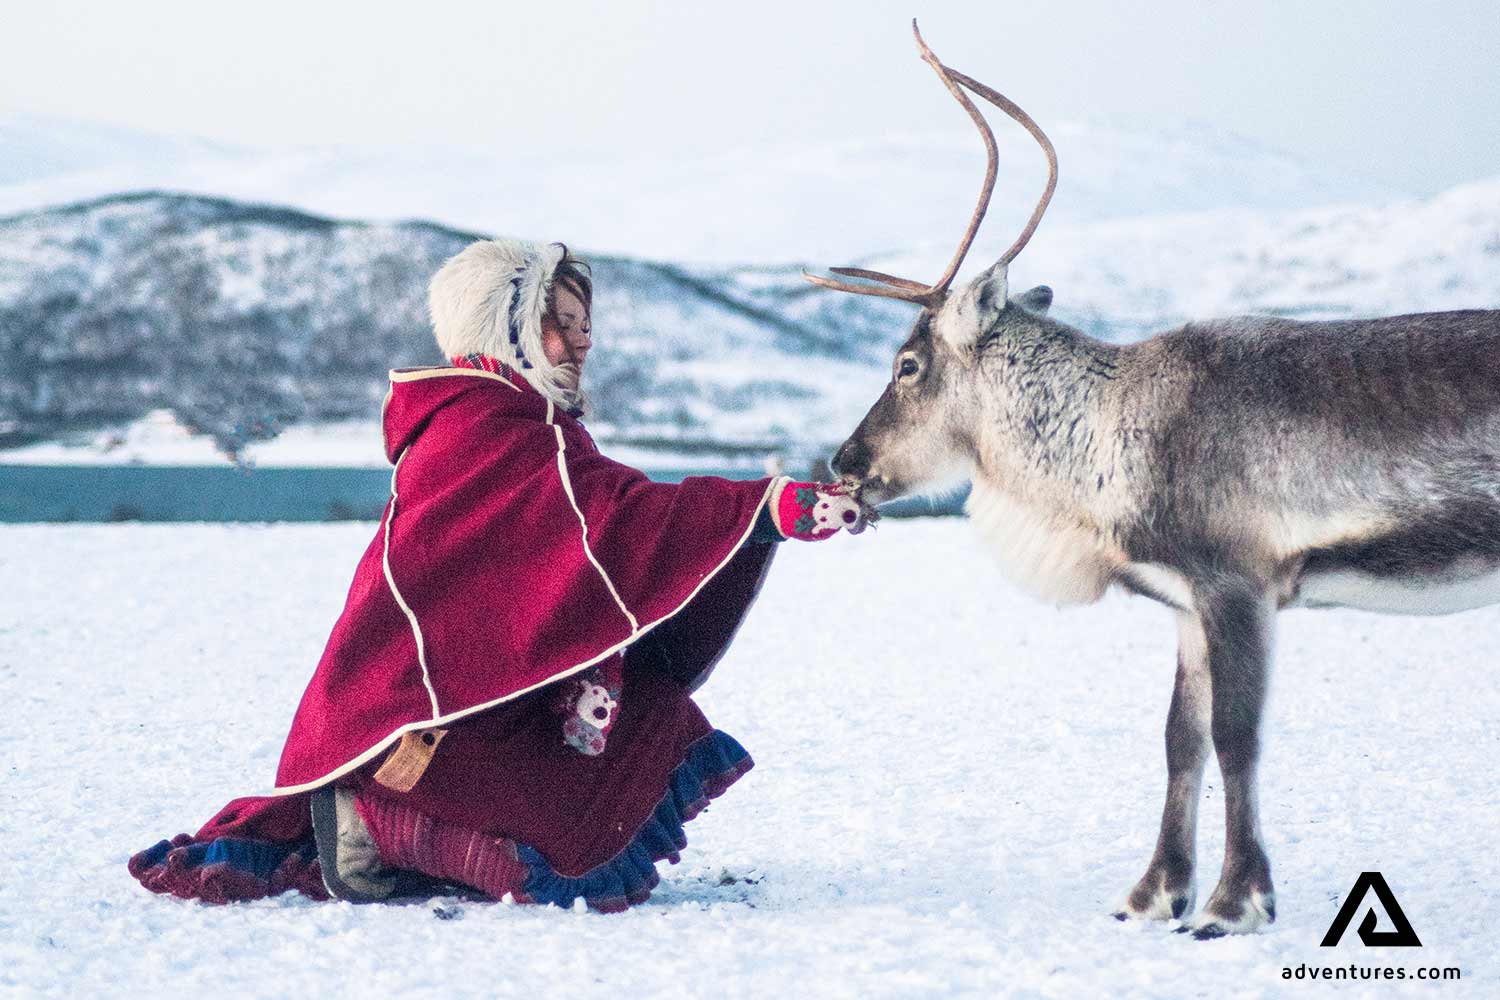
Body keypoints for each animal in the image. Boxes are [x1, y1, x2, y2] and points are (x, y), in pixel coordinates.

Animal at [807, 22, 1500, 939]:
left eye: (908, 365)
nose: (844, 463)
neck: (1106, 437)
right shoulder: (1183, 602)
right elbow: (1181, 738)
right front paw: (1151, 894)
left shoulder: (1238, 583)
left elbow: (1238, 737)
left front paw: (1234, 902)